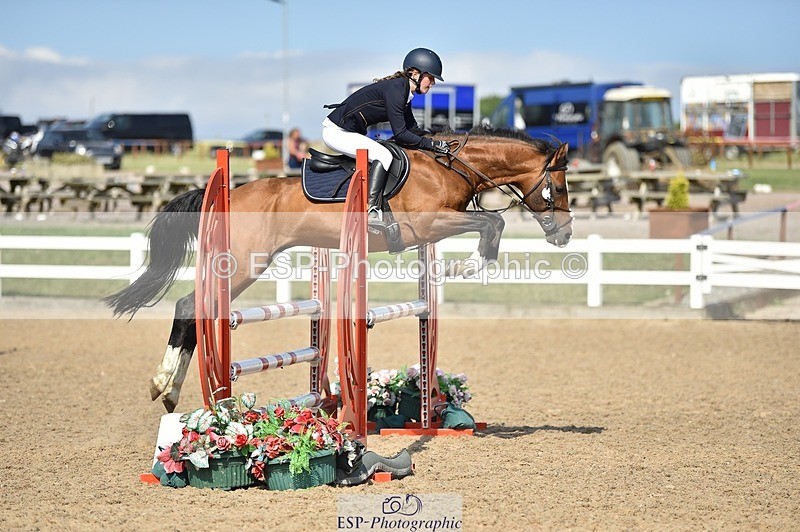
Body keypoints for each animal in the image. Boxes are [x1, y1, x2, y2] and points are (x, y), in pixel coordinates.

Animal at [104, 125, 572, 412]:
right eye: (560, 184)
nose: (565, 234)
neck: (449, 166)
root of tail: (223, 194)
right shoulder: (427, 224)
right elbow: (493, 221)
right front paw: (467, 266)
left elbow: (491, 223)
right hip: (240, 265)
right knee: (189, 307)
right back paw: (166, 386)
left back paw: (170, 390)